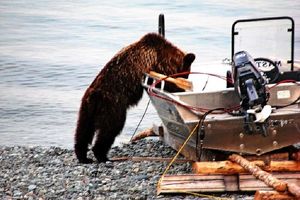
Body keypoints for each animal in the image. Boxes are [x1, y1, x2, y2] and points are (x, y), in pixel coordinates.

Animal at [74, 32, 195, 163]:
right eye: (187, 73)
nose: (186, 80)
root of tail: (93, 96)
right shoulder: (157, 63)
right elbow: (163, 81)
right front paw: (178, 88)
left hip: (86, 110)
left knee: (83, 131)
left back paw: (83, 156)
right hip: (112, 105)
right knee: (110, 128)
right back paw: (102, 155)